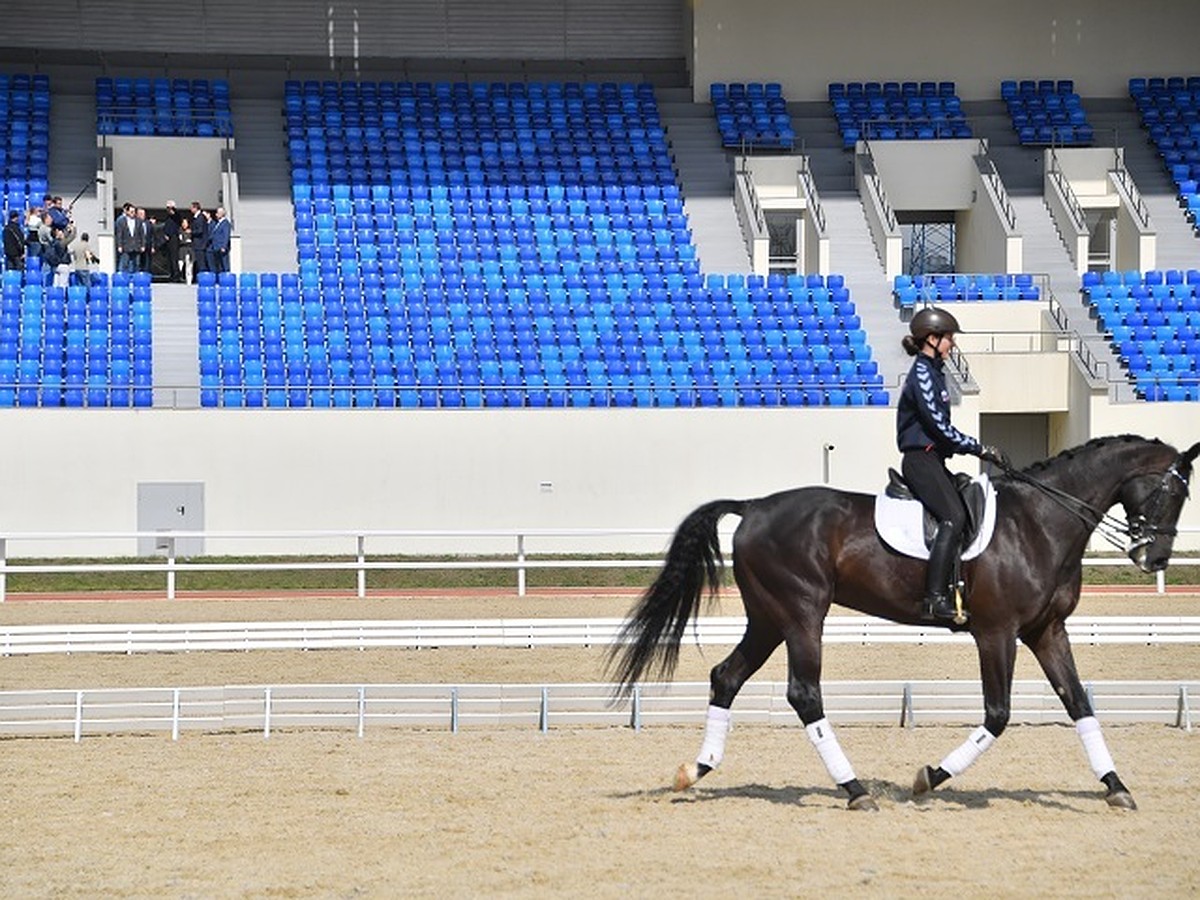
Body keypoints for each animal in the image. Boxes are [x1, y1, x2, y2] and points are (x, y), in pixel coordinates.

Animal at [614, 434, 1195, 816]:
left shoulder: (1046, 631)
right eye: (1172, 493)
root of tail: (754, 506)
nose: (1155, 559)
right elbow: (998, 714)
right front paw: (928, 779)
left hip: (769, 617)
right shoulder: (997, 632)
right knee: (804, 694)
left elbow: (1079, 704)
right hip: (802, 613)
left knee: (727, 677)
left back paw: (696, 770)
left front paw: (1116, 786)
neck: (1038, 523)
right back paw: (854, 790)